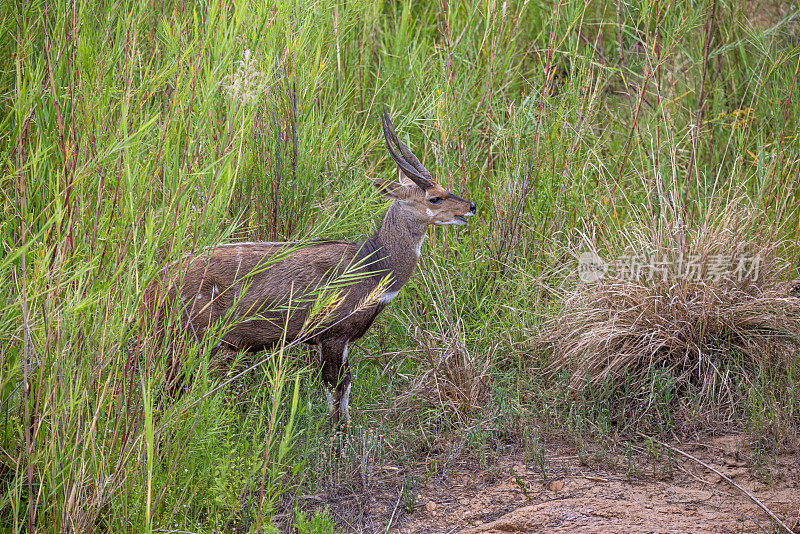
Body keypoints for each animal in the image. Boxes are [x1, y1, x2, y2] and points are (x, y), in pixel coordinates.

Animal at [144, 111, 476, 430]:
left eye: (445, 188)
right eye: (434, 197)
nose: (470, 206)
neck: (374, 266)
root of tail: (155, 286)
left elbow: (345, 385)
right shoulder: (332, 334)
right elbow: (337, 386)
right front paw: (337, 437)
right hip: (190, 339)